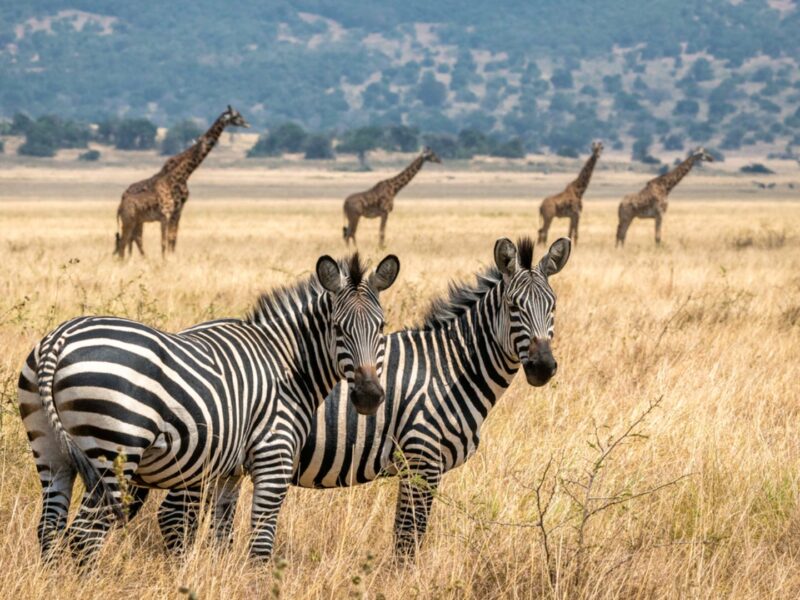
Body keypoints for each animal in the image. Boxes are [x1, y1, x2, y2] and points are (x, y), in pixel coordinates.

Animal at [17, 252, 401, 564]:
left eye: (381, 326)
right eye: (337, 328)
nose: (369, 396)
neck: (287, 364)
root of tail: (59, 339)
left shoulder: (228, 471)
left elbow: (221, 536)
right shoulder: (273, 458)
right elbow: (261, 543)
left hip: (50, 451)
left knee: (49, 527)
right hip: (114, 453)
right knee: (84, 535)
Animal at [114, 106, 249, 258]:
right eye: (236, 116)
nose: (247, 123)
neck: (186, 175)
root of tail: (124, 194)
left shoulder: (178, 210)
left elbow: (173, 238)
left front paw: (171, 257)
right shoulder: (172, 211)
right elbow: (168, 239)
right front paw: (168, 258)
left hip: (139, 219)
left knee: (131, 239)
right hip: (137, 219)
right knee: (132, 238)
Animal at [146, 236, 571, 555]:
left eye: (553, 306)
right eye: (514, 307)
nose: (543, 367)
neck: (450, 369)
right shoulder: (422, 459)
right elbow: (408, 537)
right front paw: (404, 581)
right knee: (174, 516)